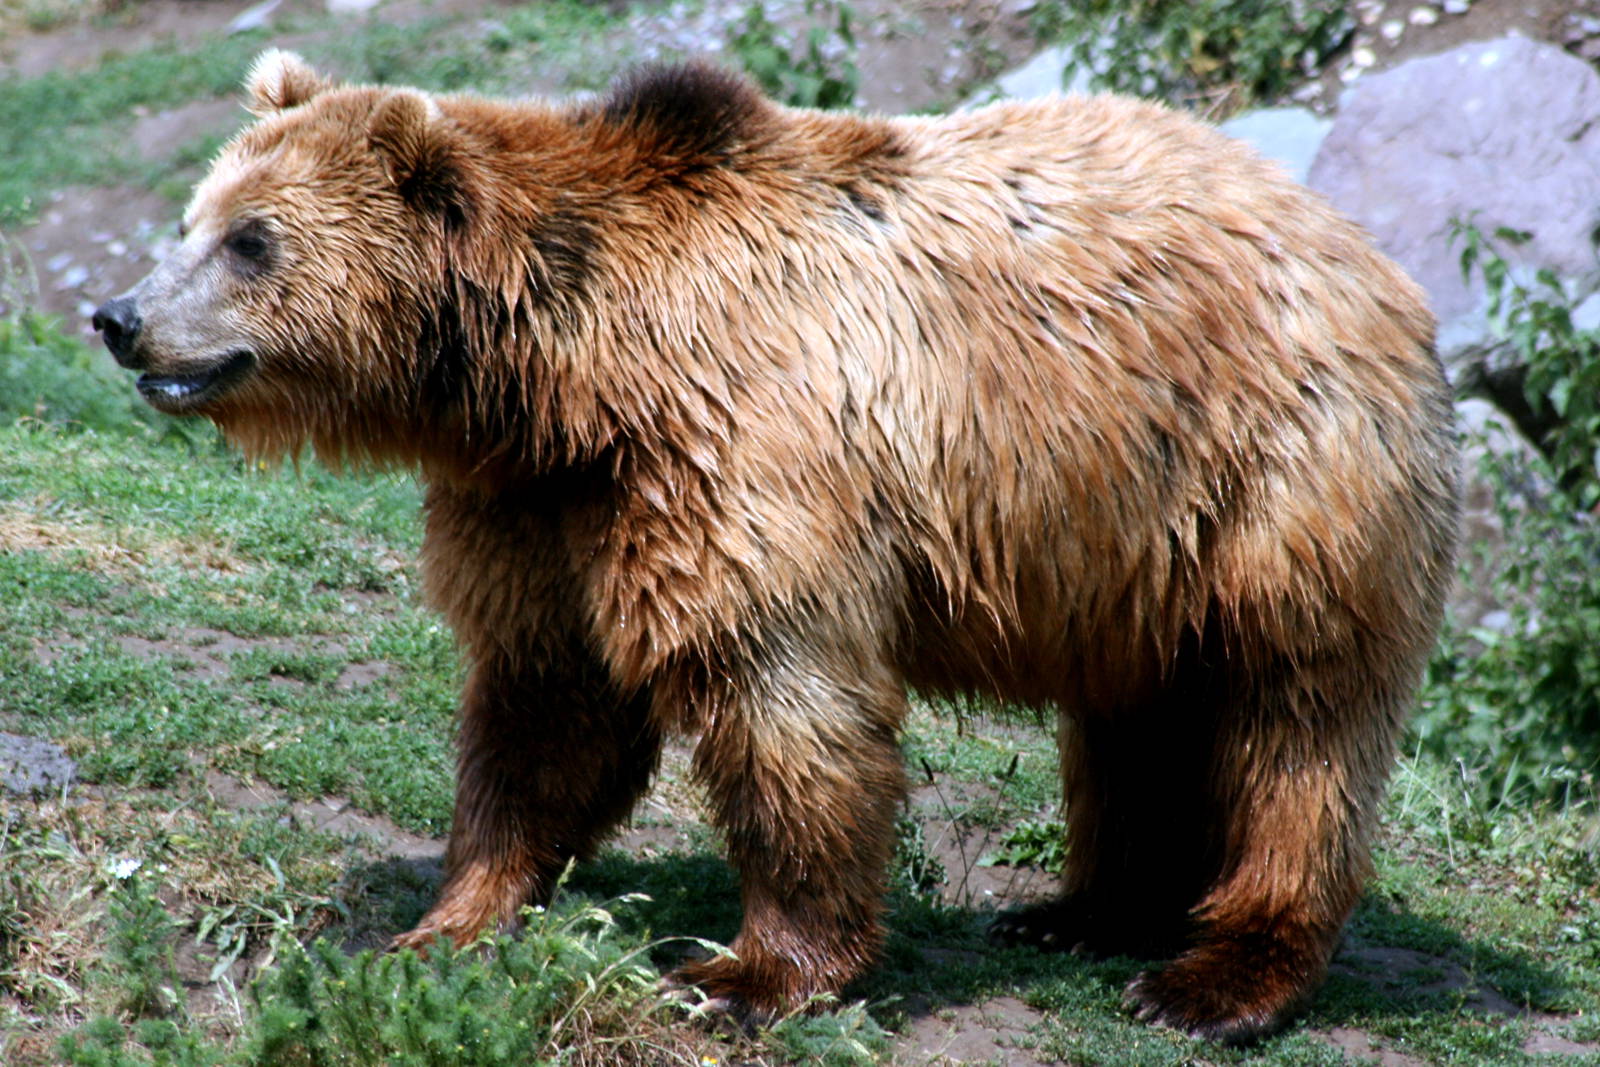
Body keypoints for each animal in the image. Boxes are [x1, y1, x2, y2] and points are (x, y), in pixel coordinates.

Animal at [92, 50, 1458, 1044]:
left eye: (251, 239)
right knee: (1136, 715)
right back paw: (1081, 911)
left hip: (1276, 476)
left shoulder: (745, 458)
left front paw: (746, 970)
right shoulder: (543, 511)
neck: (574, 373)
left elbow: (783, 703)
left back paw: (1217, 971)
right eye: (194, 217)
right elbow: (541, 712)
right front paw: (449, 914)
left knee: (1292, 719)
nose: (119, 316)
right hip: (1125, 537)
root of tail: (1366, 249)